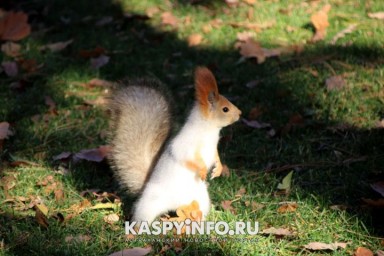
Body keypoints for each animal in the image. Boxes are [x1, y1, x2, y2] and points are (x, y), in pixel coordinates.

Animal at [106, 66, 242, 224]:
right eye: (225, 109)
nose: (240, 113)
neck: (209, 130)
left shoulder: (213, 147)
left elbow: (216, 156)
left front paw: (218, 168)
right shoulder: (185, 145)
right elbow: (186, 157)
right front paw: (202, 170)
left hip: (200, 198)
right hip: (150, 203)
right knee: (143, 215)